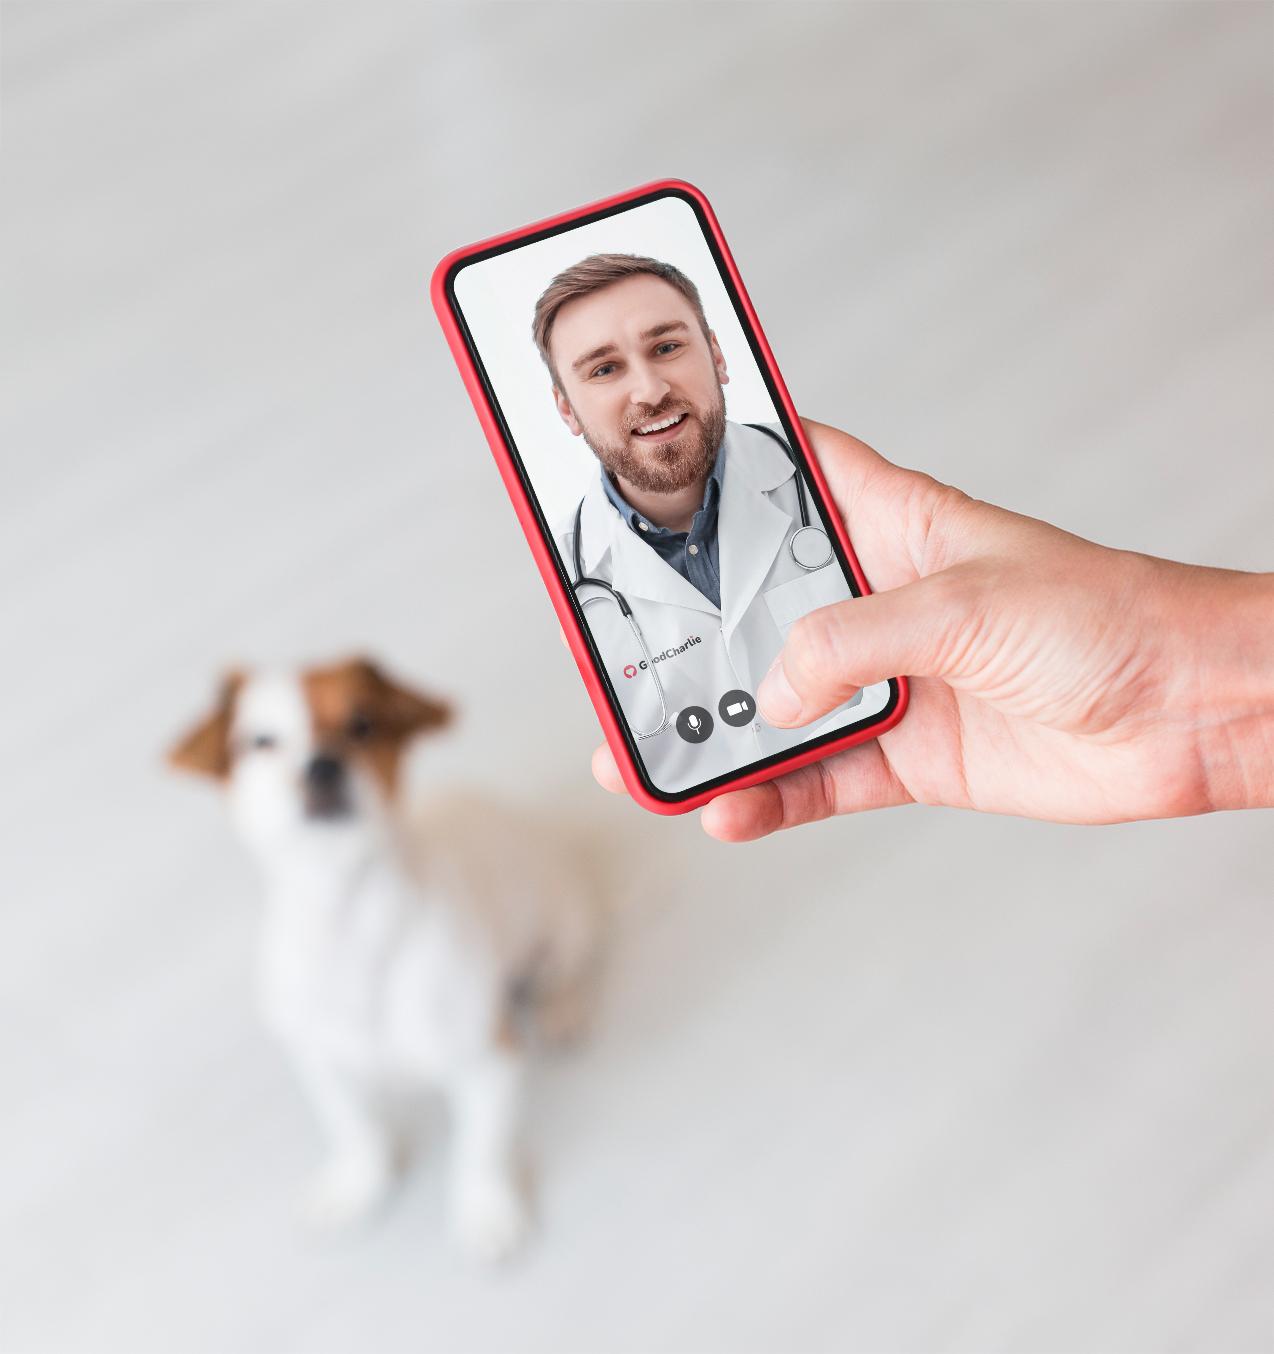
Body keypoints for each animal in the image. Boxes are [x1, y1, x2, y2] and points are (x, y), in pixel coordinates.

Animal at [166, 660, 598, 1261]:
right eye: (260, 741)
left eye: (362, 724)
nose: (322, 765)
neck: (352, 921)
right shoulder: (319, 1061)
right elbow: (355, 1129)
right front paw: (359, 1182)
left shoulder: (488, 1064)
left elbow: (481, 1150)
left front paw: (484, 1210)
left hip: (564, 917)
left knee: (566, 967)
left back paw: (560, 1007)